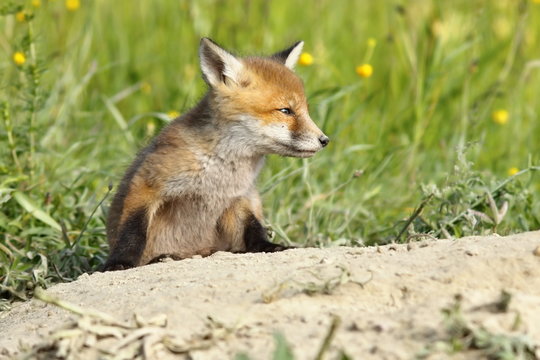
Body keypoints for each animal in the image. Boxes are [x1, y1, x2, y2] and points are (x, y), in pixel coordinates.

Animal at [102, 38, 330, 270]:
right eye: (285, 110)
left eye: (305, 110)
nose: (324, 140)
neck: (221, 174)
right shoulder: (146, 183)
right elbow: (132, 231)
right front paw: (120, 262)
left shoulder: (242, 197)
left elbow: (255, 229)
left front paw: (270, 247)